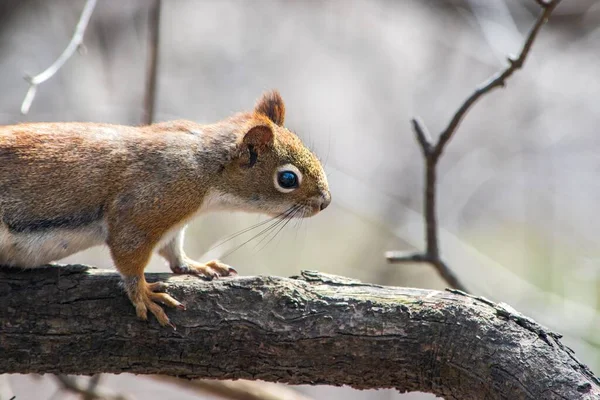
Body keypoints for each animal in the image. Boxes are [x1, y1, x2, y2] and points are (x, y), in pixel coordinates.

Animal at [0, 90, 328, 328]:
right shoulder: (145, 206)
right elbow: (129, 255)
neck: (206, 169)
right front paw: (144, 294)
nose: (325, 202)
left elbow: (173, 250)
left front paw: (197, 265)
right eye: (287, 179)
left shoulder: (173, 223)